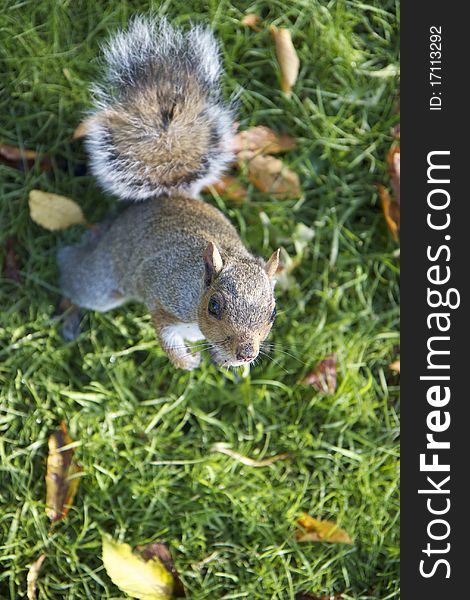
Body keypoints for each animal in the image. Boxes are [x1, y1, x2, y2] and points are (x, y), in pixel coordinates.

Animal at [58, 17, 280, 370]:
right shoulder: (164, 297)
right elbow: (165, 335)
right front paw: (186, 362)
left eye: (272, 313)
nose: (246, 353)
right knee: (74, 274)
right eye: (214, 306)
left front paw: (229, 364)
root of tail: (171, 196)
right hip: (102, 279)